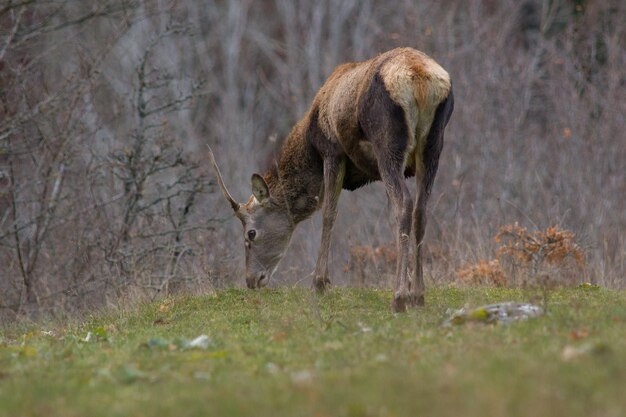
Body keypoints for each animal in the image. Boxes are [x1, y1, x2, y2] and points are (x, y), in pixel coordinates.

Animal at [207, 47, 450, 310]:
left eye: (250, 233)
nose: (252, 280)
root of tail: (420, 80)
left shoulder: (332, 152)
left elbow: (329, 214)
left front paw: (319, 283)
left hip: (388, 145)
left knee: (405, 204)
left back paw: (399, 298)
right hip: (432, 146)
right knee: (420, 210)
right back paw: (418, 295)